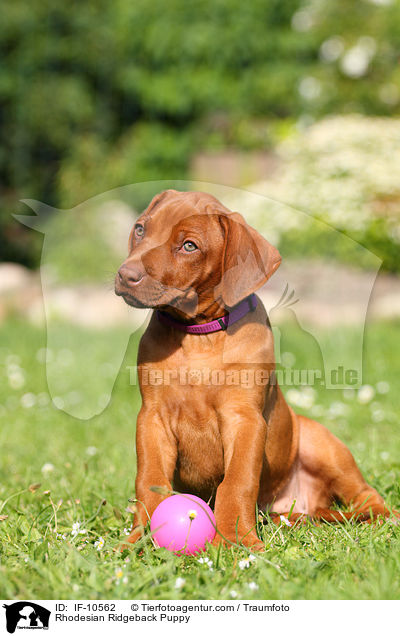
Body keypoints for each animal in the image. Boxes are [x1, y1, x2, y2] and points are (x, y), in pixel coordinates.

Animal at [114, 186, 396, 548]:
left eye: (189, 246)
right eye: (140, 229)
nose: (125, 276)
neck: (199, 335)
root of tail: (309, 504)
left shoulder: (245, 419)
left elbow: (237, 481)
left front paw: (236, 541)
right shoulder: (152, 417)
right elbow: (150, 479)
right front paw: (139, 538)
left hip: (321, 444)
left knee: (367, 495)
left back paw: (385, 519)